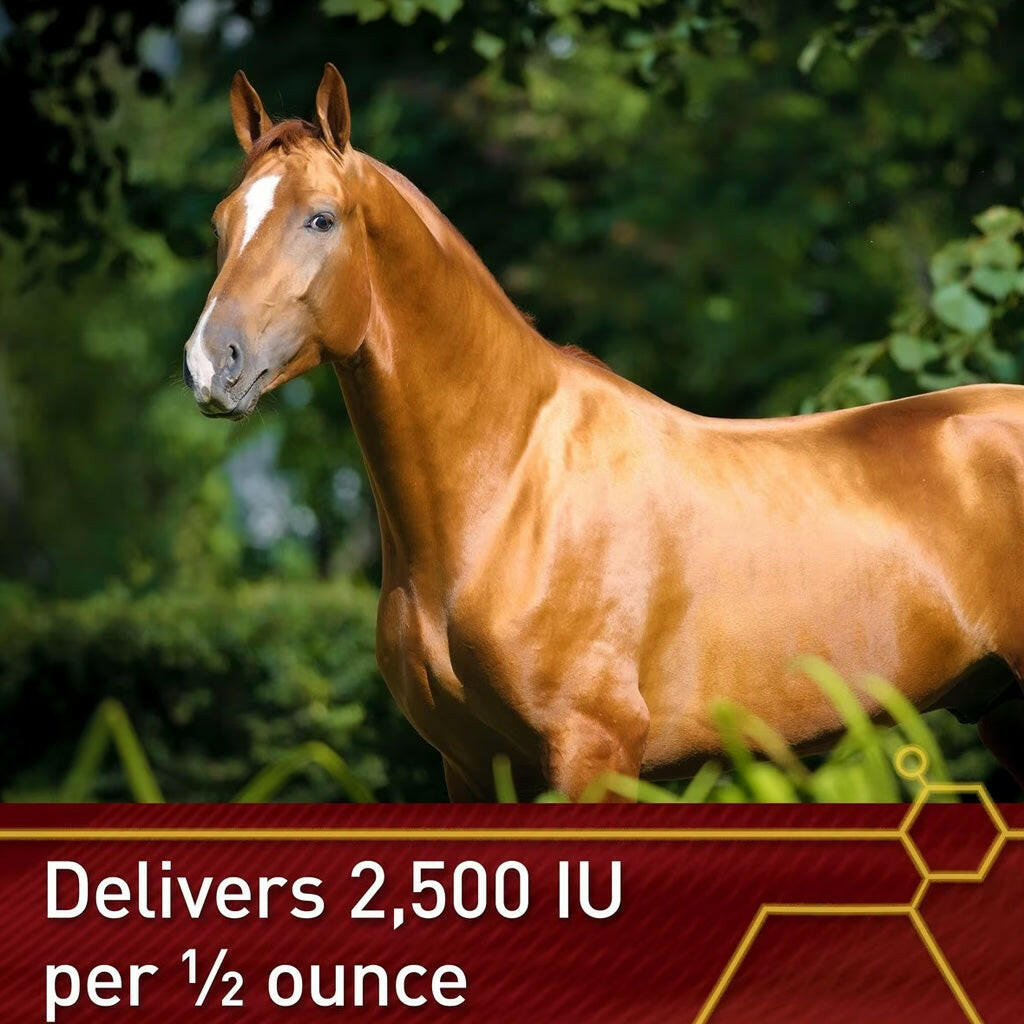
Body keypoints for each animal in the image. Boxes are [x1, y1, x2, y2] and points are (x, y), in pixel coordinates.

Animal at [183, 63, 1024, 800]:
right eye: (221, 223)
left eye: (320, 219)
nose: (209, 363)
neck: (508, 493)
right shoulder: (470, 766)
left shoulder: (592, 750)